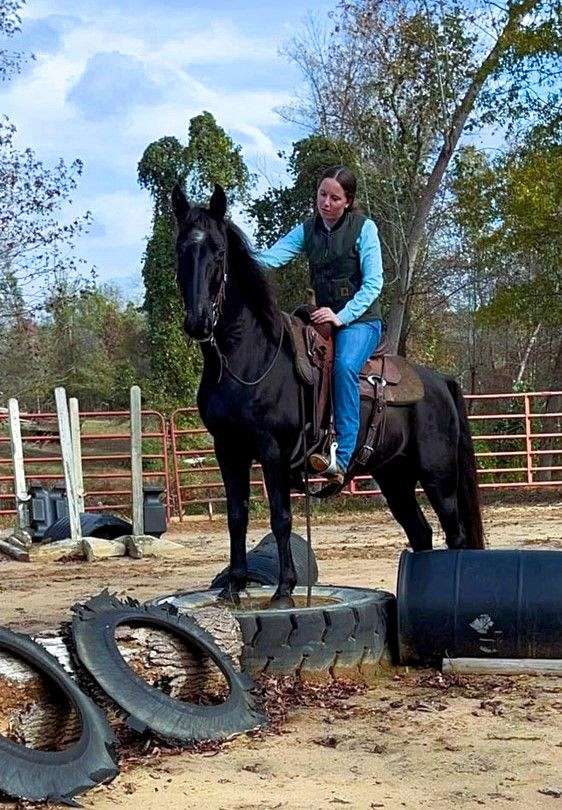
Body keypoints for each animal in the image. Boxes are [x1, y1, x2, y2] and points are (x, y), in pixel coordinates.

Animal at [173, 185, 484, 608]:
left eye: (219, 251)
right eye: (181, 251)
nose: (199, 320)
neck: (249, 358)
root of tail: (439, 381)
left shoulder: (271, 448)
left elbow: (280, 516)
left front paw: (284, 590)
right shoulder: (228, 448)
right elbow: (236, 515)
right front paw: (234, 586)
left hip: (439, 478)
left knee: (455, 535)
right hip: (394, 478)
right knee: (420, 533)